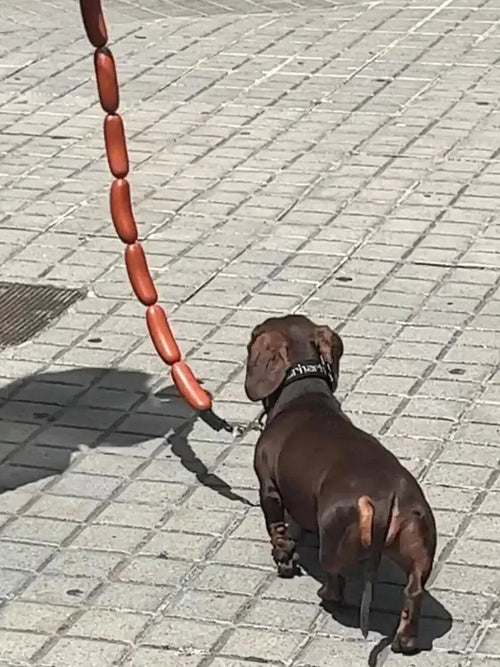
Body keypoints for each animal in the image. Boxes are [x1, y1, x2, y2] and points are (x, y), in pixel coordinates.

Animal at [244, 316, 436, 656]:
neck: (303, 393)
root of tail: (387, 498)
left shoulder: (268, 488)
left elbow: (278, 531)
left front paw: (285, 560)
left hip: (332, 543)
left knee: (336, 579)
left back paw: (326, 595)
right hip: (419, 549)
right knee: (413, 593)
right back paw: (405, 640)